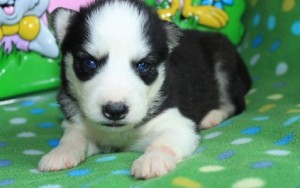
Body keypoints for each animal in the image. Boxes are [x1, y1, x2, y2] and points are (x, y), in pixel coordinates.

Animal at [38, 0, 252, 179]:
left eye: (143, 65)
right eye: (89, 62)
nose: (115, 110)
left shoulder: (178, 122)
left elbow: (164, 141)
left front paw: (152, 160)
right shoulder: (76, 123)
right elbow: (73, 137)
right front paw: (59, 153)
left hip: (224, 63)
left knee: (235, 103)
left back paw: (213, 116)